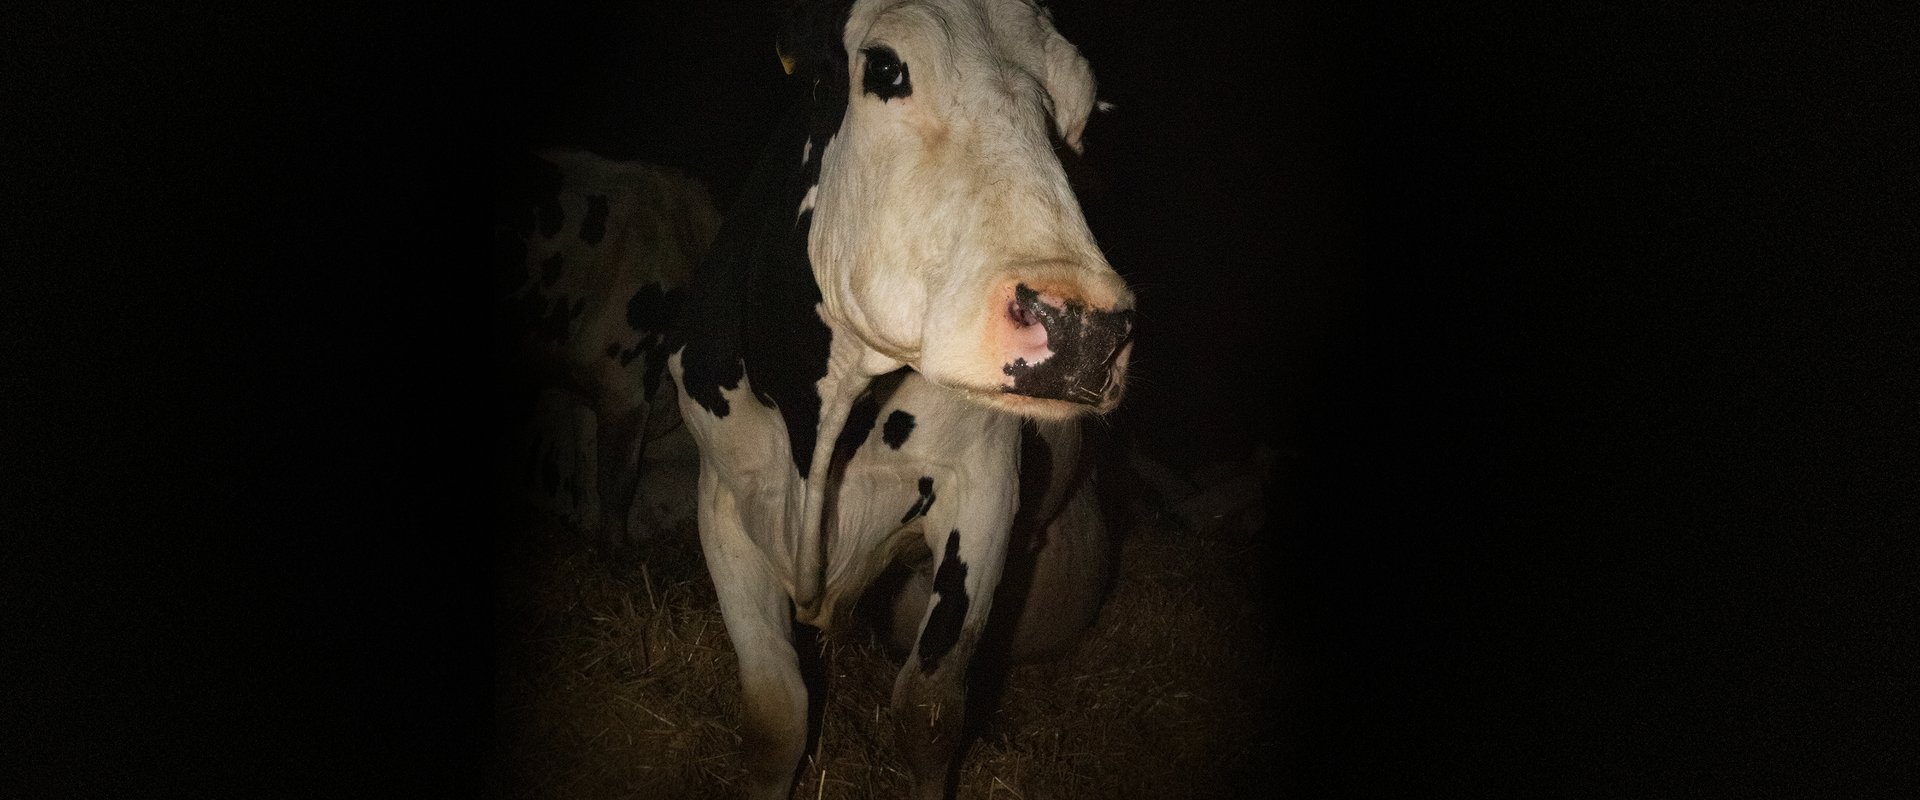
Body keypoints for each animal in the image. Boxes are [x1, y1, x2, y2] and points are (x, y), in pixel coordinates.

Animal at [665, 1, 1135, 797]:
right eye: (885, 68)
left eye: (1078, 116)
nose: (1086, 327)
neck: (818, 428)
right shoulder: (722, 495)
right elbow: (775, 714)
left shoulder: (982, 486)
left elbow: (928, 708)